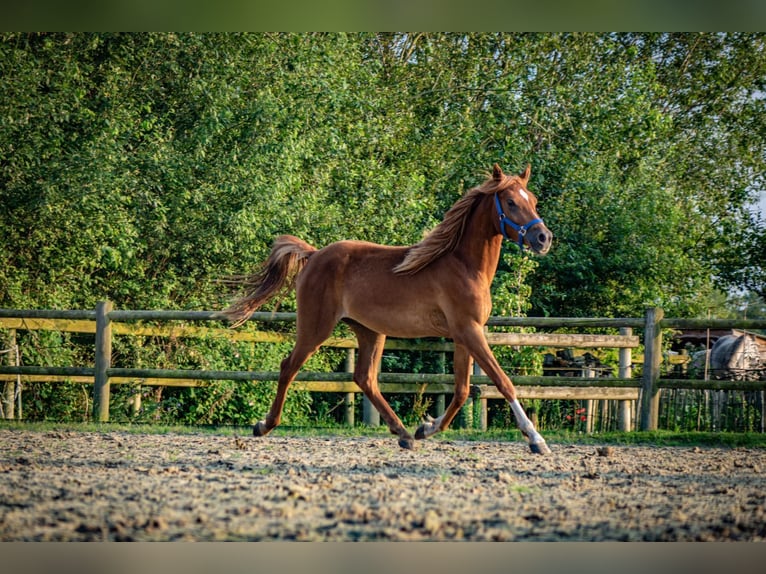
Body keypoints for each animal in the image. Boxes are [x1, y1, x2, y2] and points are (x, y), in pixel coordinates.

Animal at [225, 164, 556, 456]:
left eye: (533, 200)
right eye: (511, 202)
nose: (543, 238)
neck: (463, 265)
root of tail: (315, 254)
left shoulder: (464, 335)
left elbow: (462, 391)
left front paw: (426, 428)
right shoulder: (469, 331)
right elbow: (503, 382)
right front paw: (536, 439)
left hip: (369, 331)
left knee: (365, 379)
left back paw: (404, 434)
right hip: (315, 328)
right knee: (289, 367)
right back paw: (264, 425)